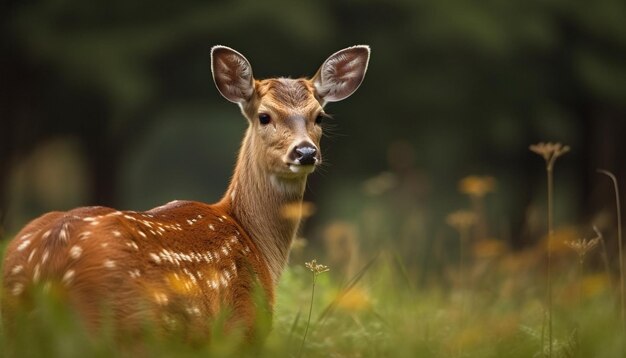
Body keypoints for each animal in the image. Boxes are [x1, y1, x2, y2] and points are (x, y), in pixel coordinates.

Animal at [0, 45, 368, 344]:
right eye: (265, 116)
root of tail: (45, 266)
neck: (253, 240)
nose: (305, 152)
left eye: (319, 116)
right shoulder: (242, 329)